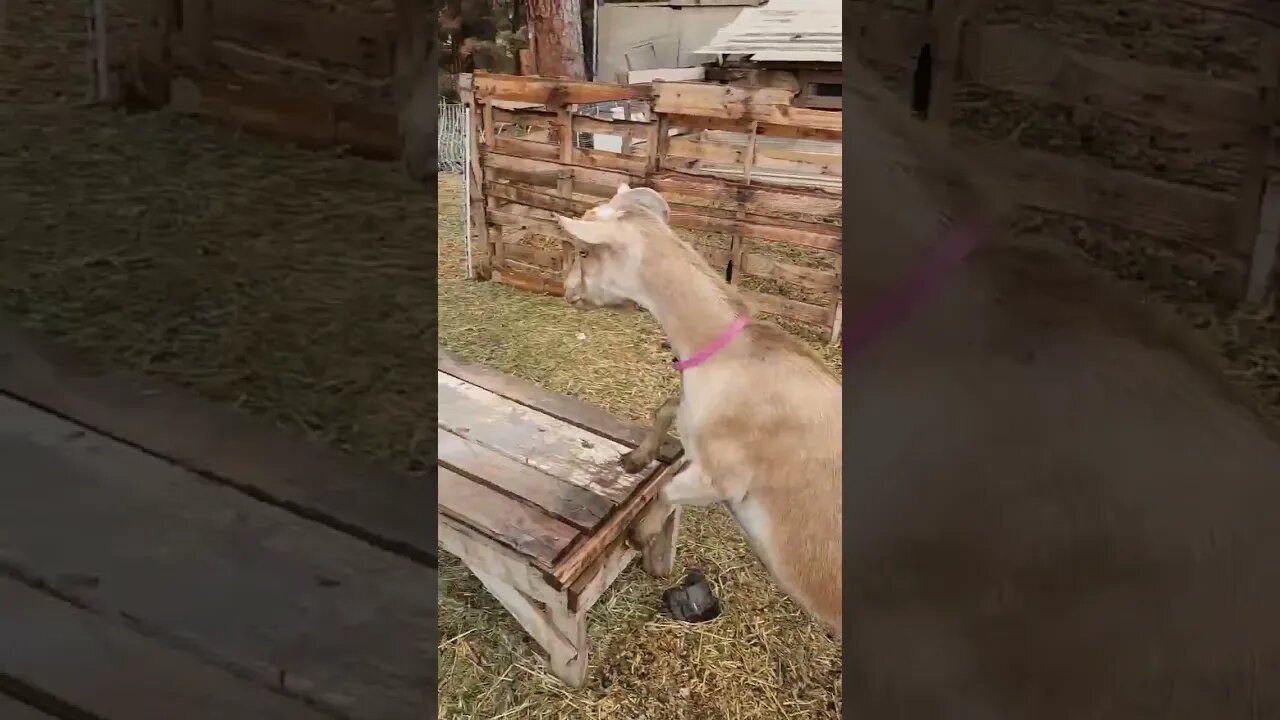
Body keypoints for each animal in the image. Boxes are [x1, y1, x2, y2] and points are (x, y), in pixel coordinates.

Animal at [558, 183, 839, 632]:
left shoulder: (723, 479)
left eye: (584, 251)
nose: (566, 289)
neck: (727, 354)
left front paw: (640, 533)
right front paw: (637, 458)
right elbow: (668, 407)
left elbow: (669, 487)